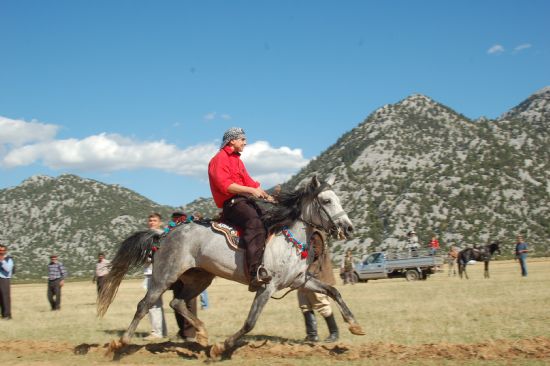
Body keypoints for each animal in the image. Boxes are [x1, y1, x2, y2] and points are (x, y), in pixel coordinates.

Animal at [99, 176, 366, 358]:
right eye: (326, 200)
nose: (349, 227)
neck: (289, 240)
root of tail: (164, 234)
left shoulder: (301, 281)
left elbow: (333, 291)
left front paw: (355, 325)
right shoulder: (267, 286)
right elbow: (250, 322)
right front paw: (222, 347)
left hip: (199, 278)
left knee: (177, 302)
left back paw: (202, 335)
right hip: (165, 276)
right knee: (144, 305)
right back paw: (119, 344)